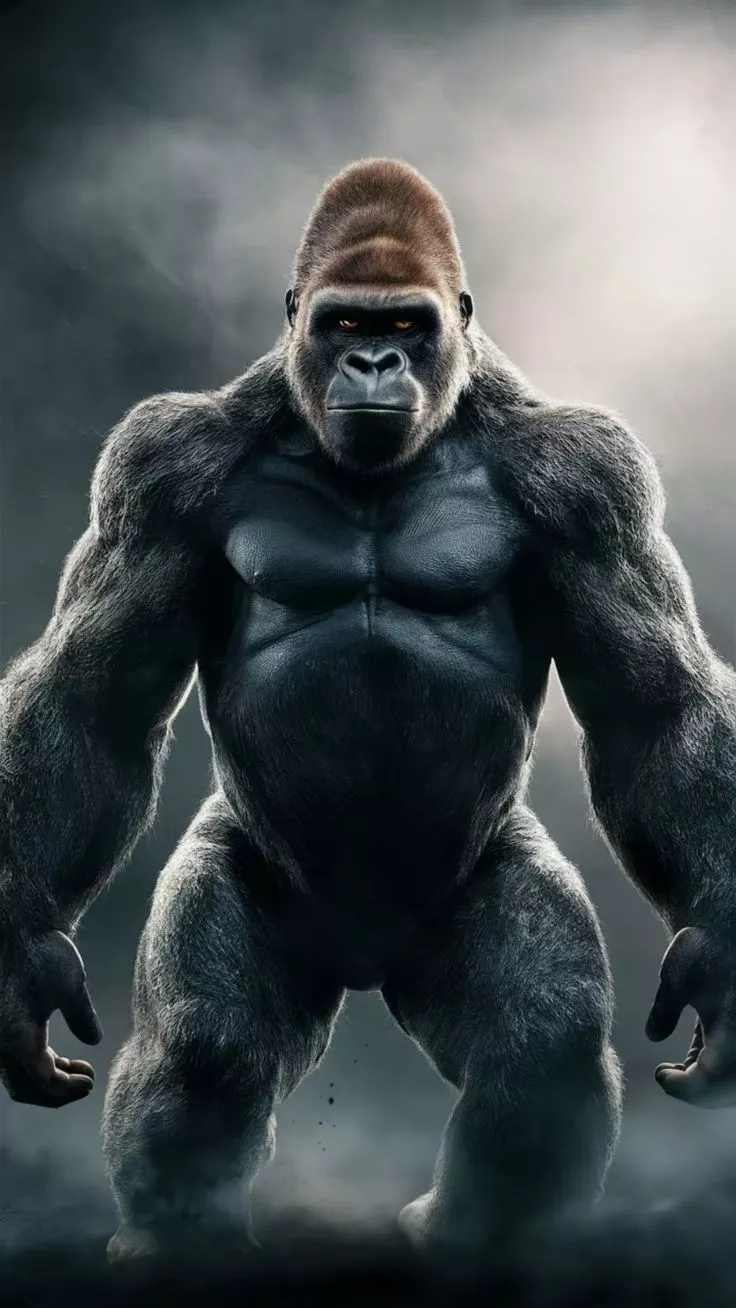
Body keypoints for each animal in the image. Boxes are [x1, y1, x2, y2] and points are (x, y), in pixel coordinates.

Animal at [1, 158, 735, 1264]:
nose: (376, 361)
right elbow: (88, 707)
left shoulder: (592, 475)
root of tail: (363, 958)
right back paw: (177, 1241)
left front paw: (722, 956)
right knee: (207, 1051)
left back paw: (475, 1238)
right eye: (344, 324)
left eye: (406, 327)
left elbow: (656, 713)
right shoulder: (157, 464)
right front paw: (21, 962)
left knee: (539, 1049)